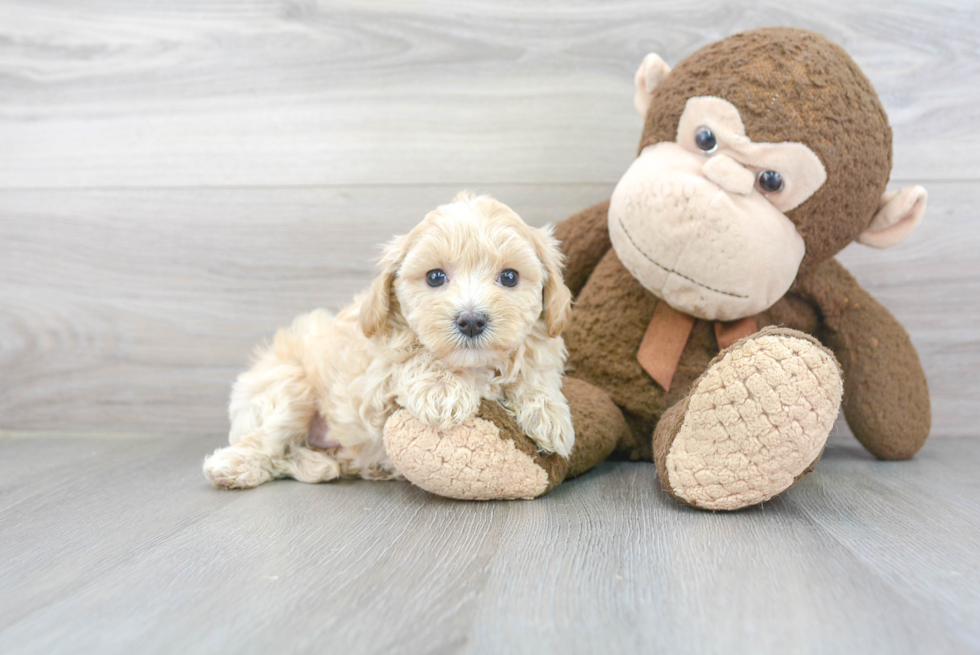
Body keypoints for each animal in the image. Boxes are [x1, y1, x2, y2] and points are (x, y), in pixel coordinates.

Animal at [205, 192, 576, 490]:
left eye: (510, 277)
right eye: (435, 277)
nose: (471, 320)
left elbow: (533, 369)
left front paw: (550, 415)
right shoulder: (372, 383)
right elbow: (414, 360)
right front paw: (443, 389)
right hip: (287, 387)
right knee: (265, 441)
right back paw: (233, 467)